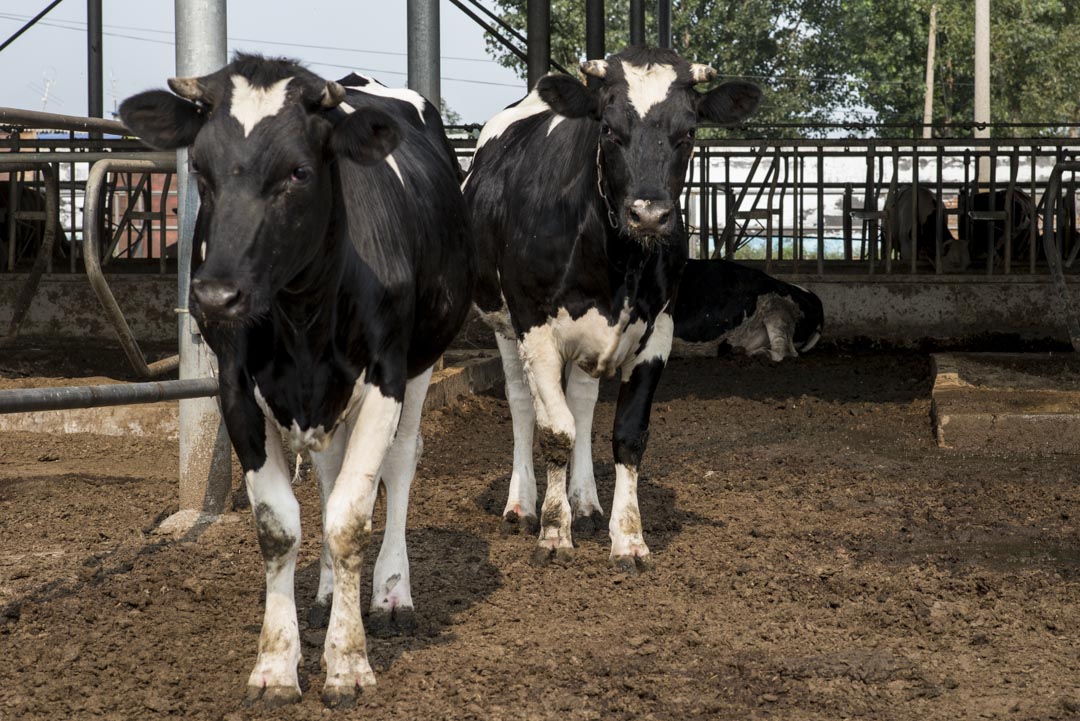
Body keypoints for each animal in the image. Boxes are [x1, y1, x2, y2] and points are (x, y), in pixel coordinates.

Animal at [119, 53, 473, 708]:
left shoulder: (385, 377)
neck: (304, 315)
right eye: (200, 169)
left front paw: (349, 662)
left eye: (299, 172)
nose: (215, 296)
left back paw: (391, 593)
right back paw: (331, 595)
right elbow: (281, 526)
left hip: (421, 362)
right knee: (330, 474)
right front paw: (277, 664)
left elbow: (351, 519)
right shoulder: (236, 390)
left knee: (400, 464)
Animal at [464, 47, 760, 569]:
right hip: (502, 323)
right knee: (523, 404)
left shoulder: (657, 330)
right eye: (607, 128)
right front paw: (553, 533)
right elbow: (555, 430)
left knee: (582, 404)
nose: (649, 214)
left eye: (689, 132)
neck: (616, 260)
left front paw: (628, 537)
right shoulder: (534, 326)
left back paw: (585, 501)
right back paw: (522, 505)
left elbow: (627, 434)